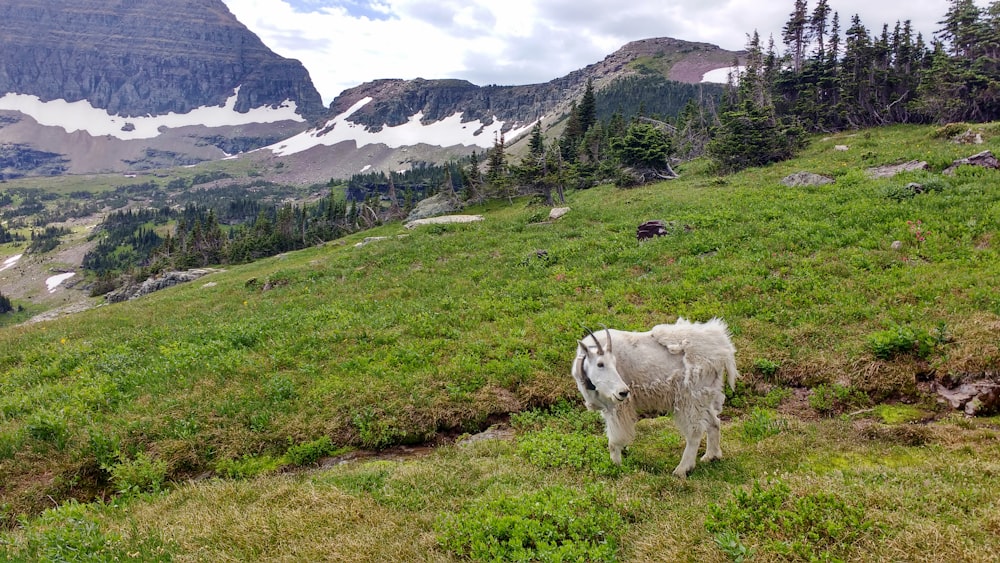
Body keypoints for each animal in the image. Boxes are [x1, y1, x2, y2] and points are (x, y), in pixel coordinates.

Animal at [572, 320, 736, 478]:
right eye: (600, 364)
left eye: (615, 363)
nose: (623, 392)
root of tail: (723, 350)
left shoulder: (617, 406)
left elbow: (613, 440)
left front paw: (616, 466)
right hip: (705, 395)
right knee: (714, 422)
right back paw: (711, 456)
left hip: (691, 397)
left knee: (695, 432)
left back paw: (682, 469)